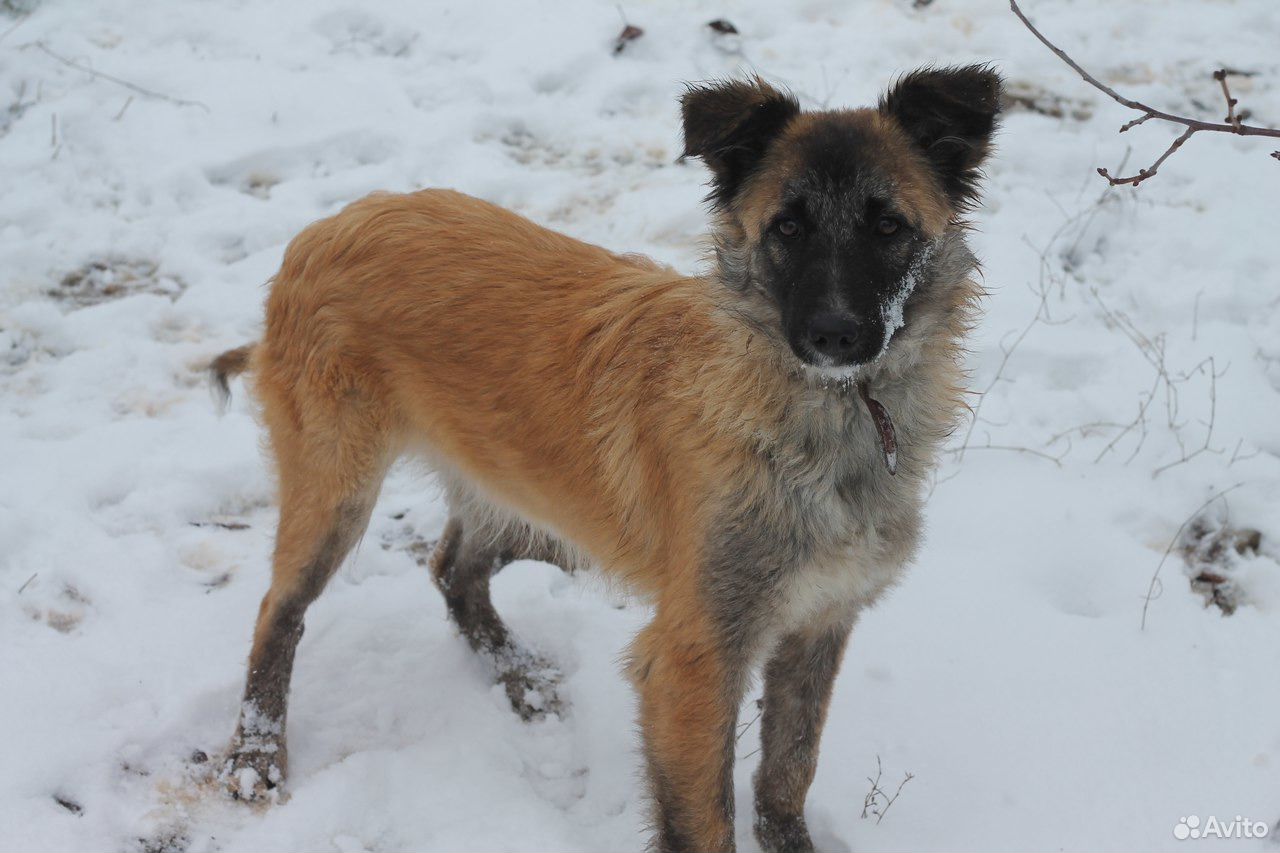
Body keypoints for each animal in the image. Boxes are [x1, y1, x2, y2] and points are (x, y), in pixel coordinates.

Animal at [212, 68, 998, 850]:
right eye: (788, 226)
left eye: (888, 226)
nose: (834, 335)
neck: (830, 418)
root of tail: (326, 227)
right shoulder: (694, 658)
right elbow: (706, 819)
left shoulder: (817, 625)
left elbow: (787, 772)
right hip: (338, 488)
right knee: (279, 611)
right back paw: (256, 758)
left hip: (512, 482)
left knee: (453, 569)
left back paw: (520, 678)